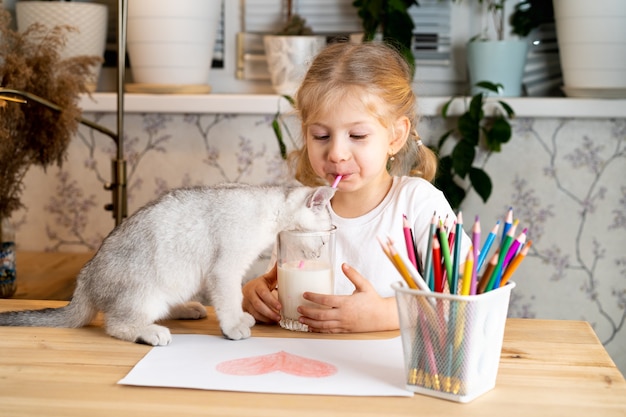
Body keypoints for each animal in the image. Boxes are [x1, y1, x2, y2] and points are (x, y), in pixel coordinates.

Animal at [0, 184, 336, 344]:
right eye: (321, 243)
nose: (320, 252)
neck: (269, 209)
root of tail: (84, 278)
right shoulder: (225, 270)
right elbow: (230, 300)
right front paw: (234, 326)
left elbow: (233, 301)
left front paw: (240, 318)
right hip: (145, 293)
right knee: (117, 324)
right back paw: (151, 332)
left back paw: (188, 309)